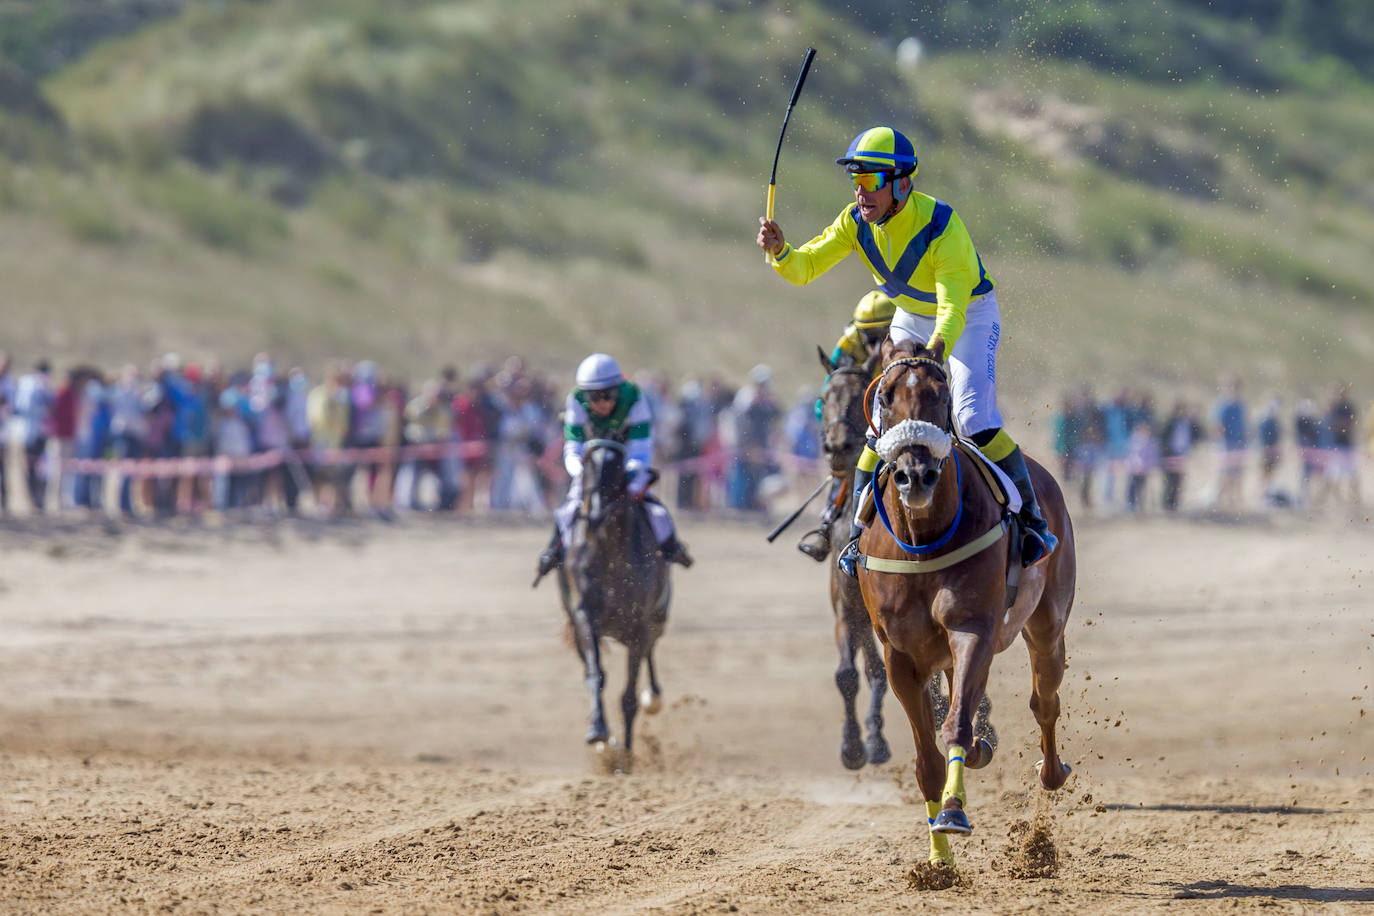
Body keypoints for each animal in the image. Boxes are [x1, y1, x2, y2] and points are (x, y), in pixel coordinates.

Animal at [552, 439, 670, 763]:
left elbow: (628, 697)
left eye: (617, 465)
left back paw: (653, 697)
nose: (593, 513)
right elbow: (596, 675)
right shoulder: (584, 617)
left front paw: (625, 760)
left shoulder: (640, 626)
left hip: (657, 620)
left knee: (651, 654)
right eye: (588, 464)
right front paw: (600, 734)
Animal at [857, 340, 1071, 873]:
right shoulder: (899, 655)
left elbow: (955, 723)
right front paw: (939, 862)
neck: (922, 540)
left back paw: (1051, 771)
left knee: (1045, 699)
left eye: (939, 395)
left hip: (1048, 624)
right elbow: (928, 760)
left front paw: (953, 811)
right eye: (885, 397)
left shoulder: (972, 628)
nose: (915, 475)